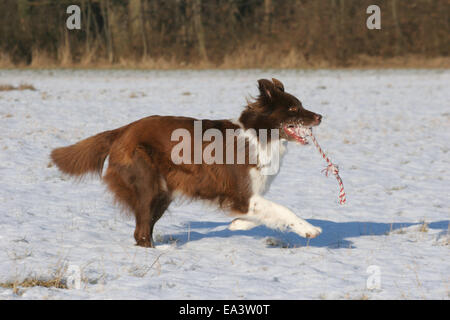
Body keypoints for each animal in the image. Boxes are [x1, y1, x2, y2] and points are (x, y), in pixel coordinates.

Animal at [51, 78, 324, 248]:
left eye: (300, 105)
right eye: (292, 108)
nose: (320, 117)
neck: (259, 135)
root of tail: (122, 130)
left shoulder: (246, 198)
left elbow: (260, 214)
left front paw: (238, 224)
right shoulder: (241, 192)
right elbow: (282, 209)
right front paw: (309, 229)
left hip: (163, 193)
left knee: (144, 228)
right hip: (148, 185)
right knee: (141, 231)